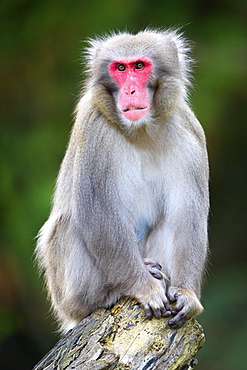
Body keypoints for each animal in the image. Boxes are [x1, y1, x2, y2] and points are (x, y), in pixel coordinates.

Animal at [36, 28, 209, 332]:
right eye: (120, 68)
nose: (130, 91)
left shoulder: (188, 131)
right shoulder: (96, 130)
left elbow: (188, 215)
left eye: (139, 66)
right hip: (66, 292)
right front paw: (143, 287)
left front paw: (187, 293)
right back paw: (109, 293)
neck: (141, 131)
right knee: (72, 225)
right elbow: (100, 214)